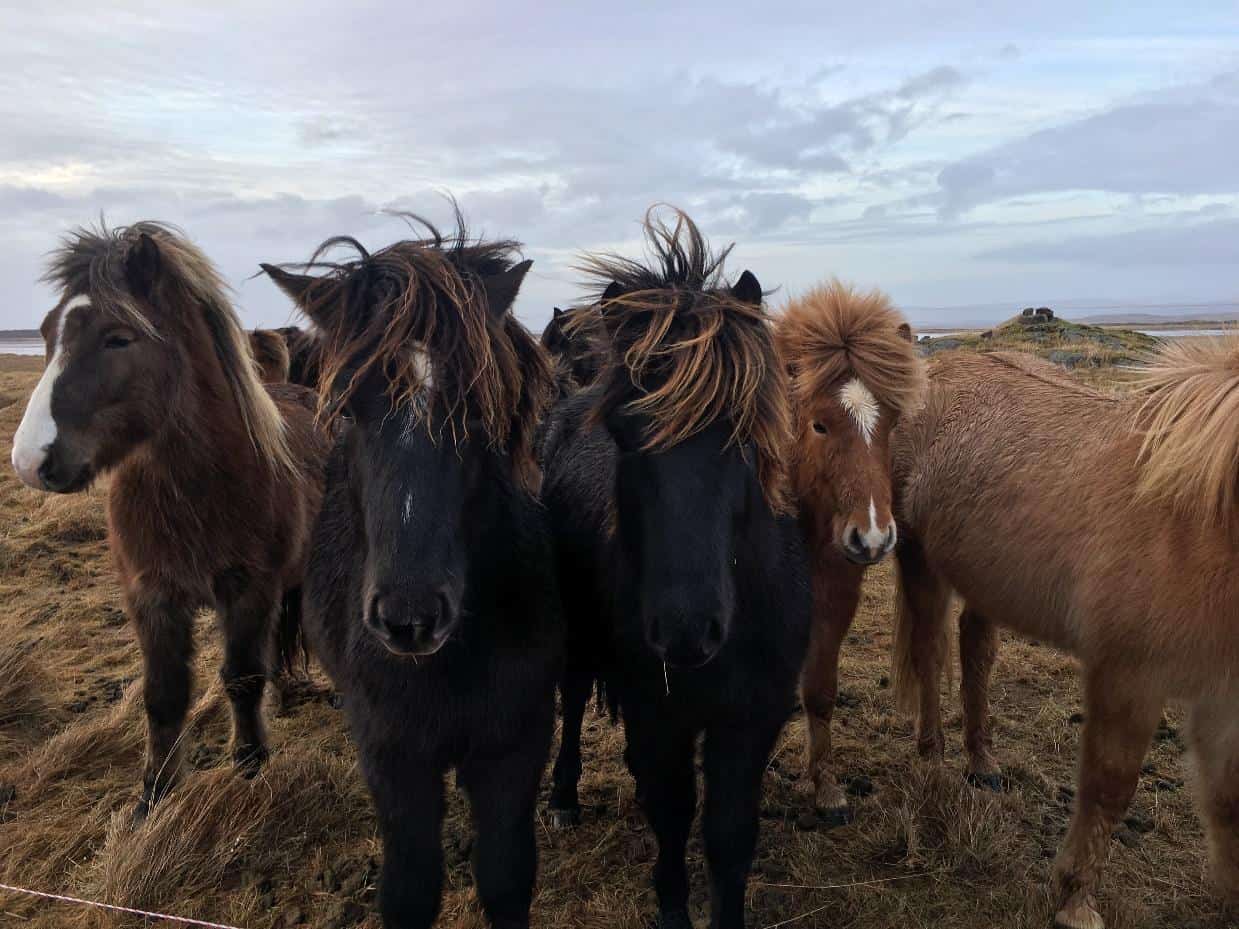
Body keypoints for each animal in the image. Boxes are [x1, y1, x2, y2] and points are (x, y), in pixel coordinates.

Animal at [9, 221, 329, 819]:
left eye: (117, 338)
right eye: (44, 331)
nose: (29, 461)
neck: (193, 497)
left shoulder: (248, 591)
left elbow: (242, 678)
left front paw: (249, 766)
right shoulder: (151, 597)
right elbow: (163, 696)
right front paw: (153, 794)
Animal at [262, 215, 562, 929]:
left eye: (479, 408)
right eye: (347, 408)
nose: (410, 617)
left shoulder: (514, 743)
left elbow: (506, 876)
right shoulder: (392, 755)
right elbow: (409, 888)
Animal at [541, 208, 811, 929]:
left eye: (743, 432)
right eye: (625, 434)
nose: (686, 630)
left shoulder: (751, 715)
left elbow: (728, 832)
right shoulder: (655, 712)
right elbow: (670, 812)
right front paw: (671, 906)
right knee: (571, 700)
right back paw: (563, 797)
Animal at [772, 281, 925, 824]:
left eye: (892, 423)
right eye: (819, 425)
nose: (873, 537)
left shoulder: (835, 598)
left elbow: (820, 691)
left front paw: (826, 786)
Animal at [889, 343, 1239, 929]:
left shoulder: (1224, 694)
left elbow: (1228, 799)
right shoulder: (1128, 676)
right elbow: (1108, 787)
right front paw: (1074, 900)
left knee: (975, 648)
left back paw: (982, 764)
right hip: (920, 561)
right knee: (929, 652)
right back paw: (933, 762)